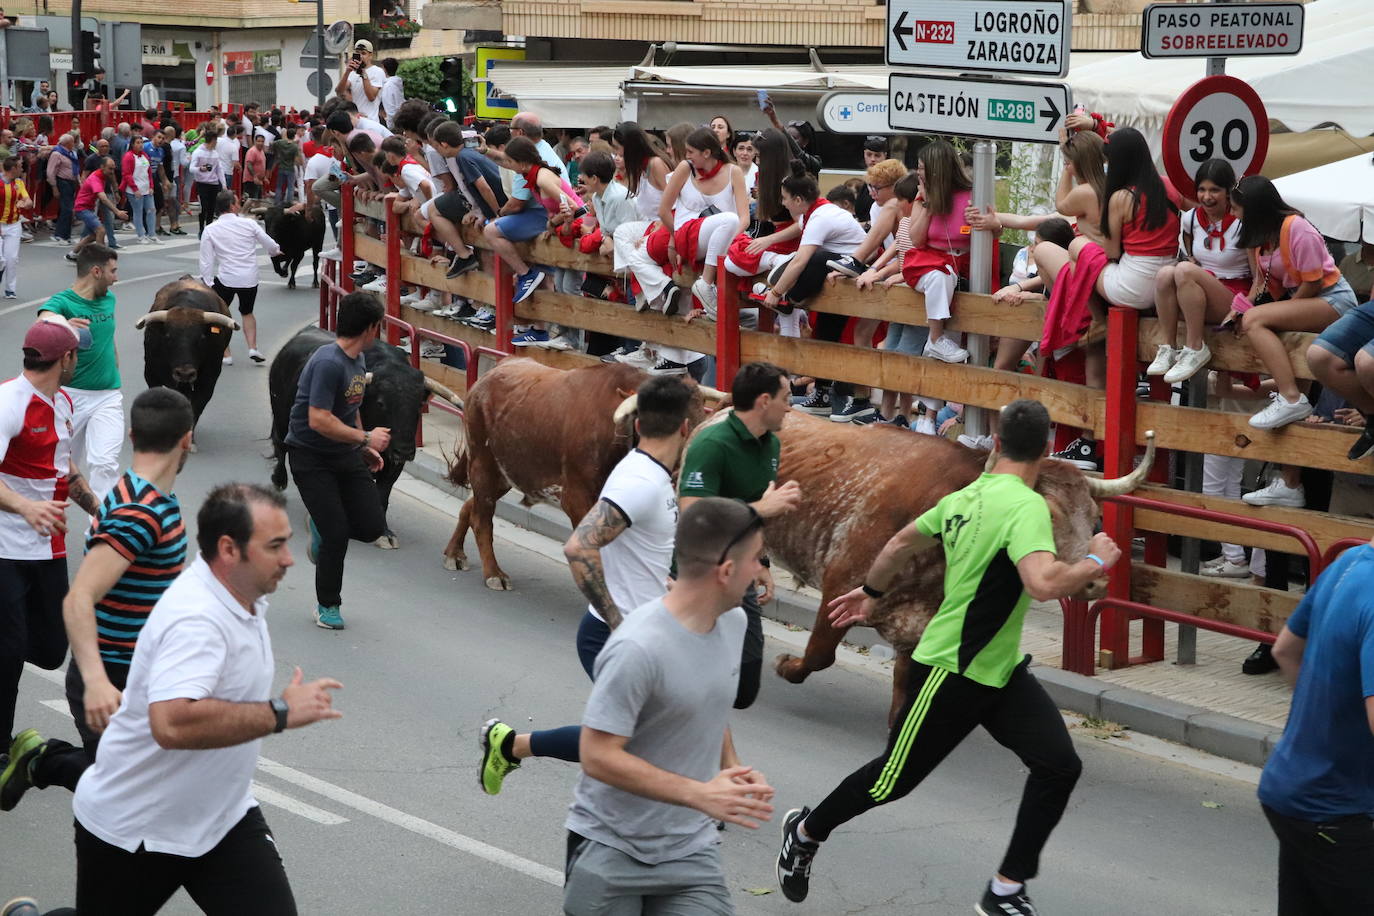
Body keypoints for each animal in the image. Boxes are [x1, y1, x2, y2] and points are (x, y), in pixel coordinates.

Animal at [265, 325, 464, 549]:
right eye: (381, 403)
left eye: (418, 405)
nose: (404, 450)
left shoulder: (393, 465)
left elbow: (381, 495)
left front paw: (384, 533)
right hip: (282, 418)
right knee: (281, 447)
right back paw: (279, 480)